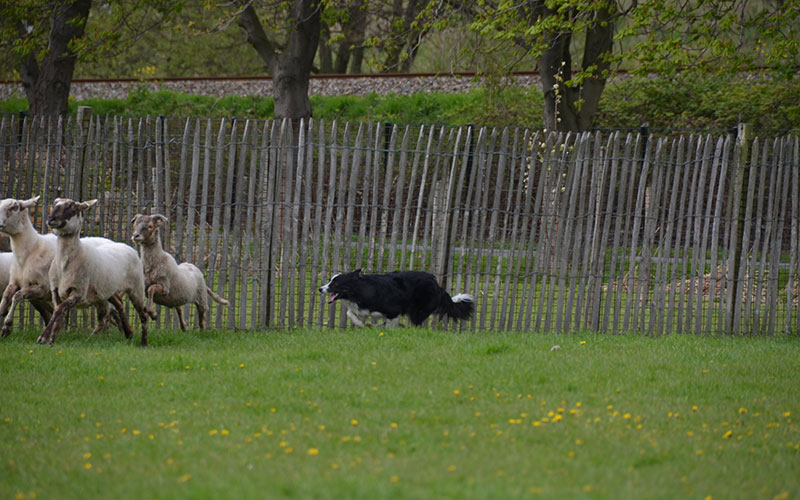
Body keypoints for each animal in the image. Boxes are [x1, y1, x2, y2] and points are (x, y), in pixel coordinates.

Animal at [40, 197, 152, 346]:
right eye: (54, 204)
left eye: (72, 206)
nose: (51, 218)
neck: (65, 264)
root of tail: (127, 246)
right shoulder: (55, 292)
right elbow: (59, 313)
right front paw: (51, 341)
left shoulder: (79, 292)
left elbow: (58, 310)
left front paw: (43, 338)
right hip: (107, 290)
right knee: (119, 304)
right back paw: (128, 333)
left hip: (136, 288)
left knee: (143, 314)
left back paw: (144, 342)